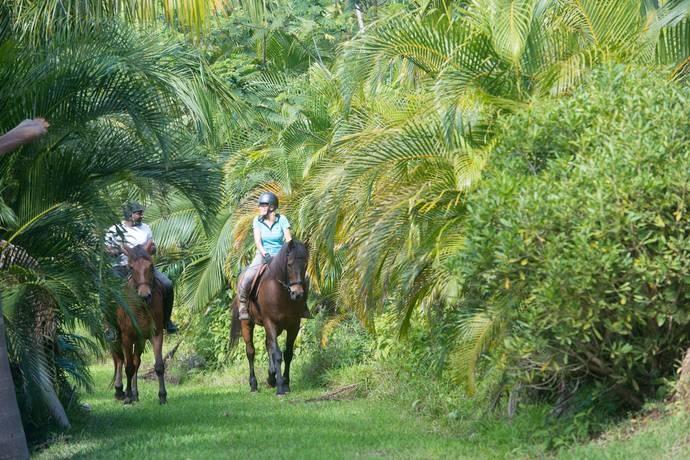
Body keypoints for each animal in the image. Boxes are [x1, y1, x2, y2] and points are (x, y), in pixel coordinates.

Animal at [113, 243, 168, 404]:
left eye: (151, 265)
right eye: (131, 267)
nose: (145, 295)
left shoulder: (155, 334)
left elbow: (159, 366)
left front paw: (162, 396)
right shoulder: (126, 337)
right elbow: (128, 367)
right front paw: (127, 397)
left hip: (140, 340)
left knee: (136, 362)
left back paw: (135, 393)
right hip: (115, 338)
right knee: (120, 359)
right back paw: (119, 391)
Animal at [230, 241, 308, 396]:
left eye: (305, 264)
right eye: (289, 264)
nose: (297, 294)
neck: (281, 293)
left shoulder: (294, 325)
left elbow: (288, 353)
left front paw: (285, 383)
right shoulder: (270, 322)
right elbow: (277, 354)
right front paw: (280, 388)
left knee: (268, 345)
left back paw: (271, 377)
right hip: (247, 323)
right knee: (251, 351)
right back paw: (254, 385)